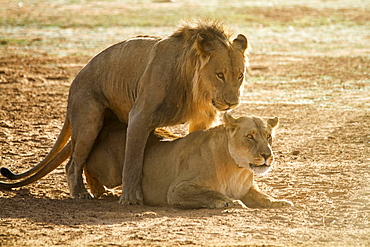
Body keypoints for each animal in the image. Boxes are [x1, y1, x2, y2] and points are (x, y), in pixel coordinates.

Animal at [0, 20, 249, 205]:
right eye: (219, 74)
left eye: (239, 76)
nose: (232, 102)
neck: (193, 86)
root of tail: (76, 79)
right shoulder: (140, 116)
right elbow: (133, 158)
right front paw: (131, 198)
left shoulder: (201, 118)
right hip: (89, 118)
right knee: (74, 162)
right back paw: (81, 193)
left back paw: (99, 191)